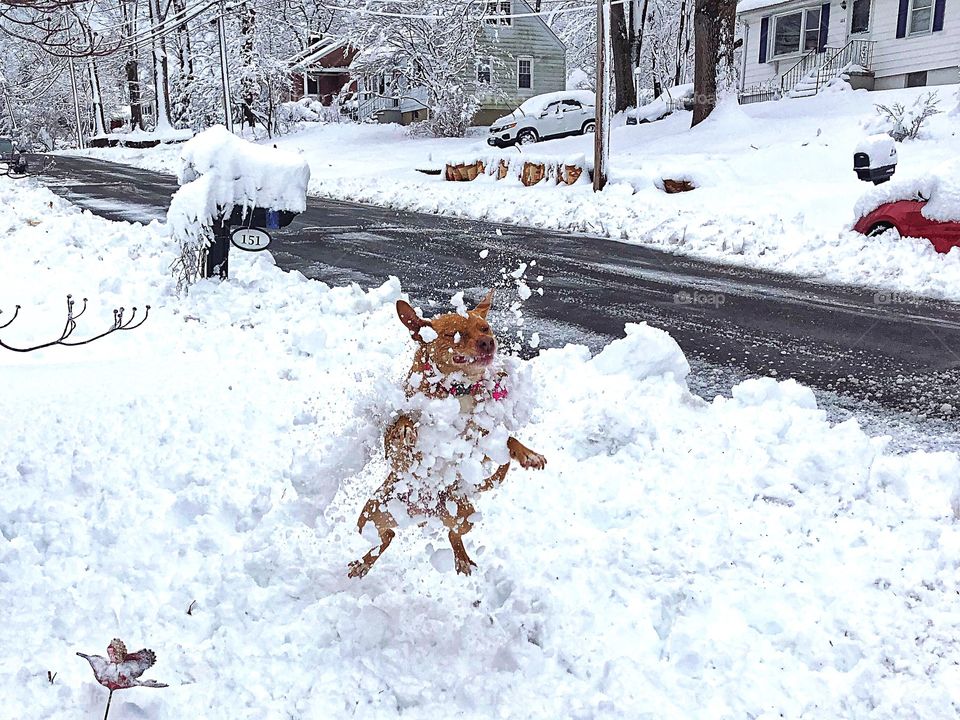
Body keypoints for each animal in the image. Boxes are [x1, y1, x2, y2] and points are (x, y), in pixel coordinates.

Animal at [350, 290, 548, 576]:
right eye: (455, 334)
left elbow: (507, 438)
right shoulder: (395, 449)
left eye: (485, 328)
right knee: (385, 538)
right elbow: (401, 422)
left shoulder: (478, 446)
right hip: (370, 514)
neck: (456, 390)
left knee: (450, 533)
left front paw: (528, 454)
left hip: (464, 516)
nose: (488, 342)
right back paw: (364, 563)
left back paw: (461, 558)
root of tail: (423, 514)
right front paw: (407, 427)